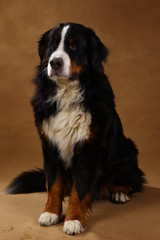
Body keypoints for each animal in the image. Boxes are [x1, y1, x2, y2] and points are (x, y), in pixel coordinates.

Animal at [6, 22, 144, 234]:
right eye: (51, 45)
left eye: (73, 46)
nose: (54, 63)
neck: (67, 92)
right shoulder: (50, 145)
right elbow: (53, 184)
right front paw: (51, 212)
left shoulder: (89, 148)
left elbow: (79, 190)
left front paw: (73, 220)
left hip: (127, 150)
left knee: (133, 180)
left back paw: (119, 193)